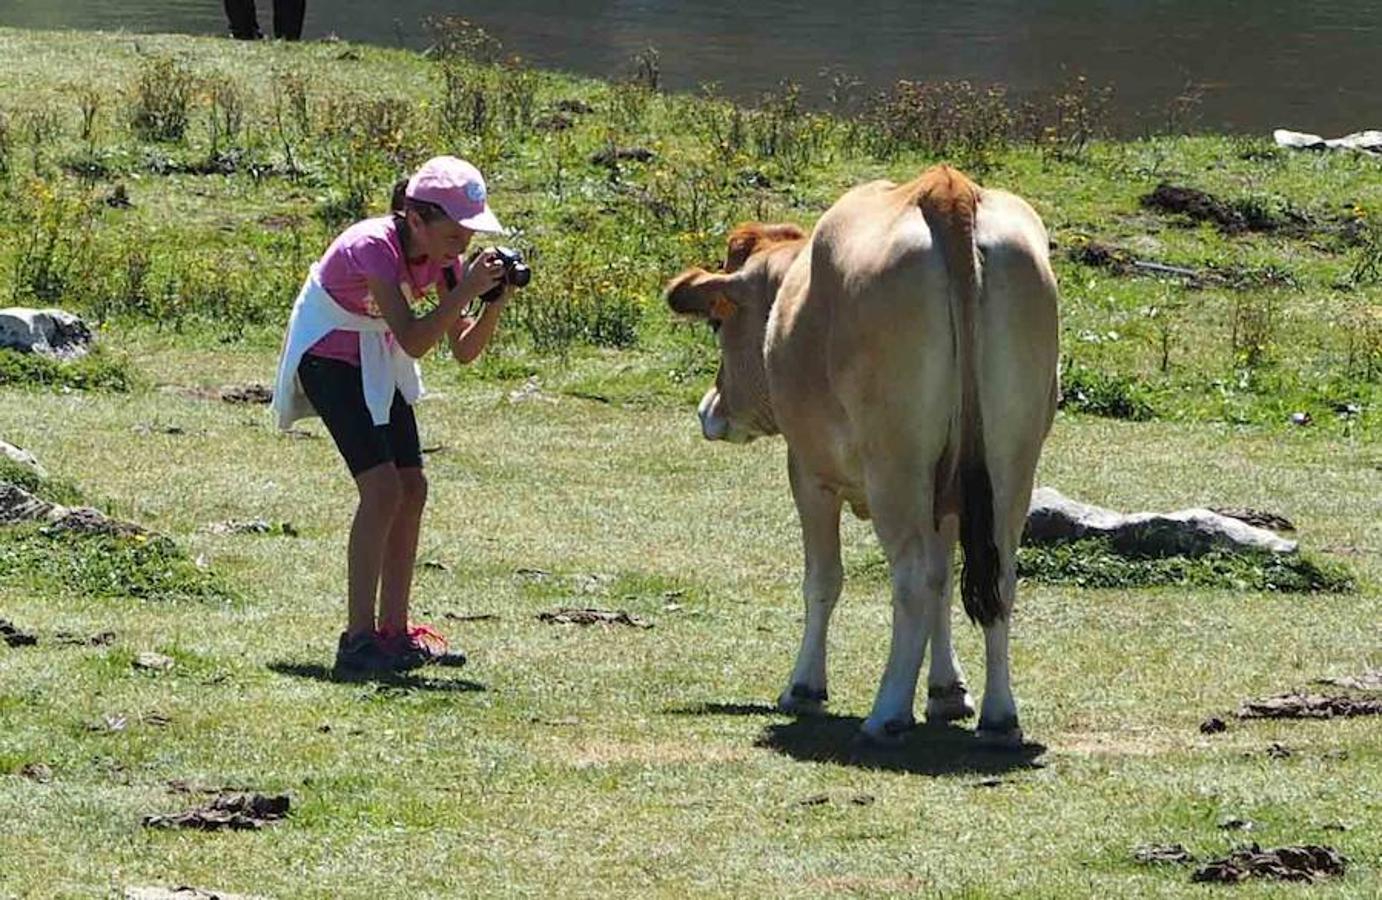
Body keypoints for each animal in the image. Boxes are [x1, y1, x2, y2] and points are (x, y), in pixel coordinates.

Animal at [666, 165, 1055, 741]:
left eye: (718, 324)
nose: (708, 409)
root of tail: (947, 189)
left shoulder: (809, 473)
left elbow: (824, 580)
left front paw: (804, 687)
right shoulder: (945, 495)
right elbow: (944, 582)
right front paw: (947, 691)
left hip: (896, 467)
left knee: (911, 577)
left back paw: (888, 711)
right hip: (1010, 467)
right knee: (996, 577)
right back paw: (1000, 717)